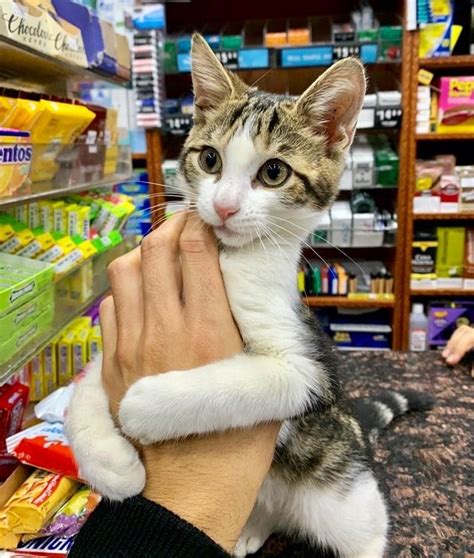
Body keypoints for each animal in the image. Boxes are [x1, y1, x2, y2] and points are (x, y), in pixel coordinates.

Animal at [66, 35, 434, 558]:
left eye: (274, 172)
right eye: (210, 159)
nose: (224, 206)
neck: (228, 257)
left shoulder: (308, 370)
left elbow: (233, 385)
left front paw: (142, 403)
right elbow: (86, 386)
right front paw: (109, 463)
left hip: (340, 493)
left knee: (366, 529)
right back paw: (252, 527)